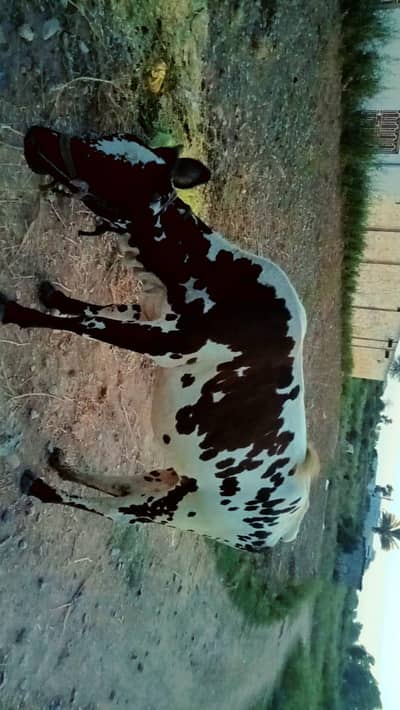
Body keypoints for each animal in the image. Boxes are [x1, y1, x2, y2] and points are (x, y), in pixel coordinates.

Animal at [0, 126, 320, 552]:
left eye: (111, 166)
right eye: (106, 138)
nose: (38, 134)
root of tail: (289, 526)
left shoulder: (168, 342)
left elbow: (86, 324)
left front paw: (14, 311)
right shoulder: (150, 313)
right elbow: (97, 309)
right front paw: (55, 297)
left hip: (181, 511)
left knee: (117, 513)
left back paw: (43, 488)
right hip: (170, 478)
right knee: (123, 486)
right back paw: (64, 468)